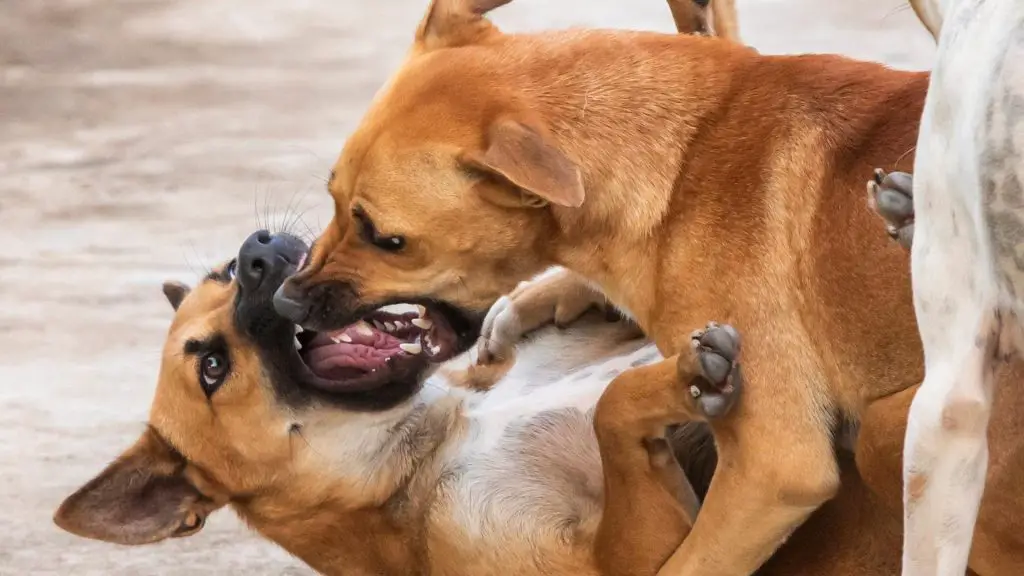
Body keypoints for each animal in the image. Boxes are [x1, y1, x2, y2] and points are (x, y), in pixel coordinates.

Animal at [270, 1, 929, 569]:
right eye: (333, 200)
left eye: (388, 239)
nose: (282, 299)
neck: (687, 157)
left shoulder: (774, 468)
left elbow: (684, 562)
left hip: (885, 436)